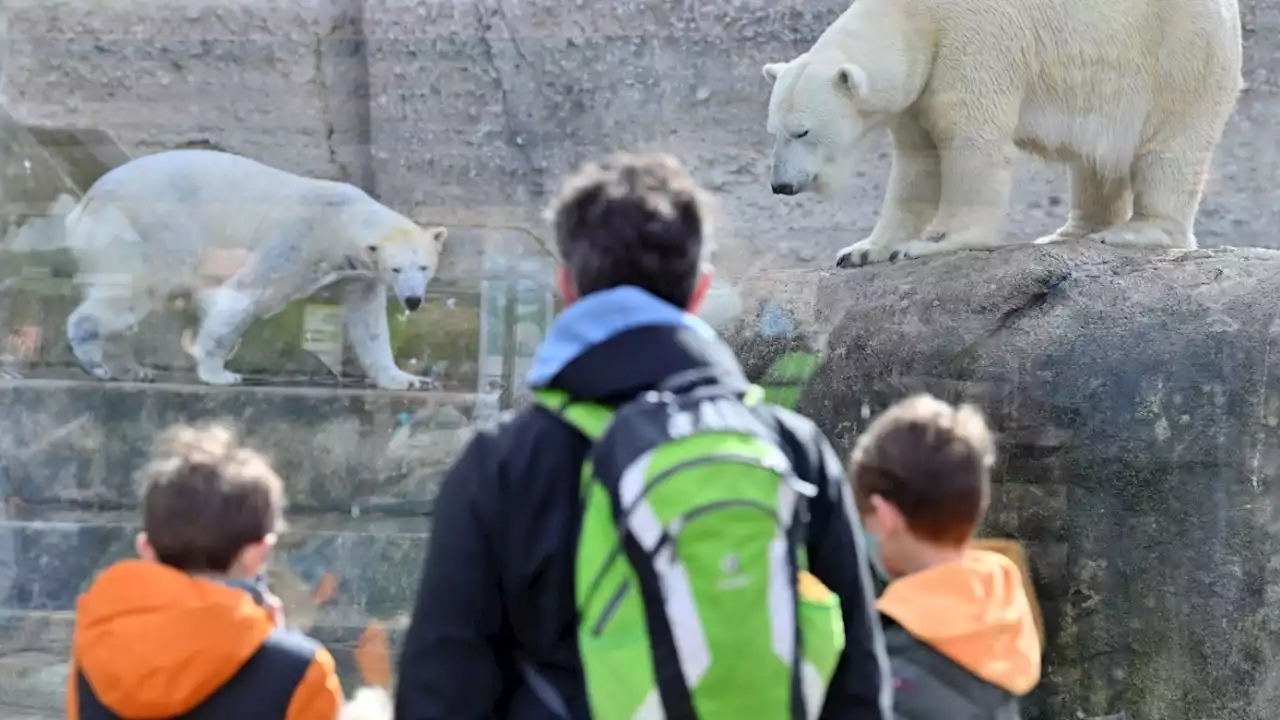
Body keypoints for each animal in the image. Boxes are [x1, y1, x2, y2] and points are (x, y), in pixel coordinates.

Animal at [64, 147, 448, 389]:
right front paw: (220, 374)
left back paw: (130, 368)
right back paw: (95, 359)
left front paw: (408, 380)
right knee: (135, 290)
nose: (413, 300)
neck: (341, 218)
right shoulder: (297, 239)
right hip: (149, 231)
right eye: (397, 269)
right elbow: (244, 295)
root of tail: (86, 202)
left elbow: (368, 324)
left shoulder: (357, 274)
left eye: (424, 267)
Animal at [757, 0, 1239, 266]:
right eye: (773, 131)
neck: (915, 16)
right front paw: (862, 251)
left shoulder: (974, 42)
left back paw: (1136, 232)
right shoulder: (920, 87)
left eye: (802, 131)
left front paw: (932, 245)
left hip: (1179, 54)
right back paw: (1070, 233)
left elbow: (970, 142)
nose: (781, 185)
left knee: (1168, 149)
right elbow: (917, 163)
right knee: (1096, 161)